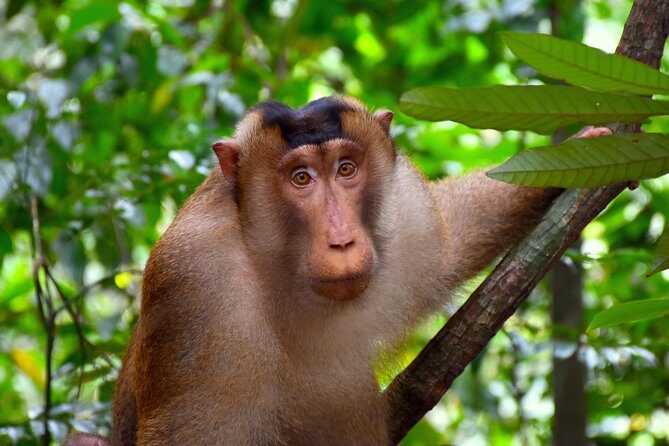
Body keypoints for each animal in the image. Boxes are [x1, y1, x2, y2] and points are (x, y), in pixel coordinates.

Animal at [65, 97, 612, 445]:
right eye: (300, 178)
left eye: (346, 168)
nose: (342, 239)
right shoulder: (196, 284)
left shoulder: (405, 206)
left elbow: (449, 237)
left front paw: (579, 151)